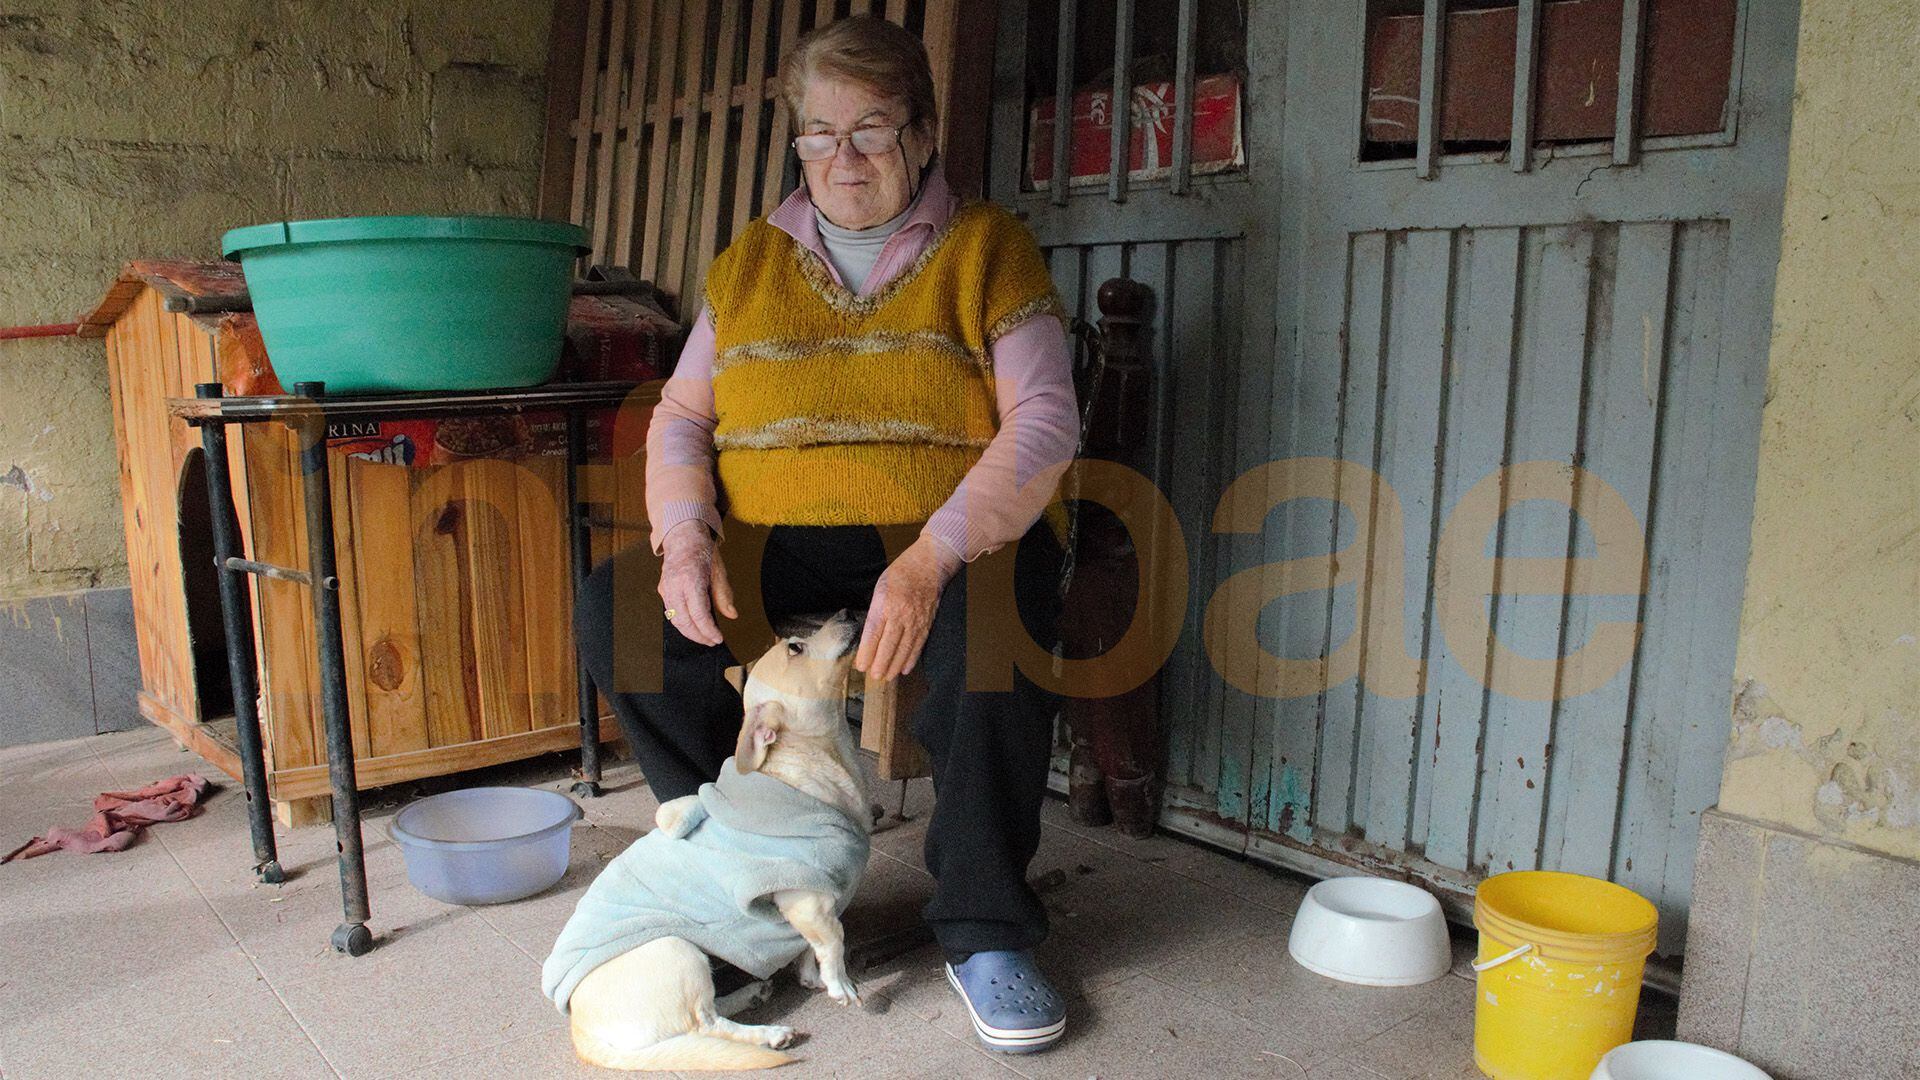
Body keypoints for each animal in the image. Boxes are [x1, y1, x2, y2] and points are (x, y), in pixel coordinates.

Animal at [560, 614, 871, 1068]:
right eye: (795, 647)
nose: (848, 612)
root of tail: (581, 1033)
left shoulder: (810, 911)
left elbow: (807, 948)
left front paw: (811, 978)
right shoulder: (805, 900)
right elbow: (833, 941)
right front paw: (840, 985)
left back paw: (752, 995)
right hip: (678, 951)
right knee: (703, 1022)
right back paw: (769, 1035)